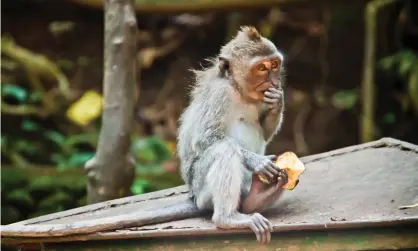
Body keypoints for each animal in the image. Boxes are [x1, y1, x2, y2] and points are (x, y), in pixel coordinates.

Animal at [0, 26, 288, 244]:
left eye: (274, 65)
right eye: (262, 68)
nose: (274, 81)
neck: (239, 91)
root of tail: (195, 198)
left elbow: (264, 130)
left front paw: (278, 101)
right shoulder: (220, 95)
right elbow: (208, 140)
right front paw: (255, 161)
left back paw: (258, 196)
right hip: (203, 189)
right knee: (223, 150)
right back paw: (229, 218)